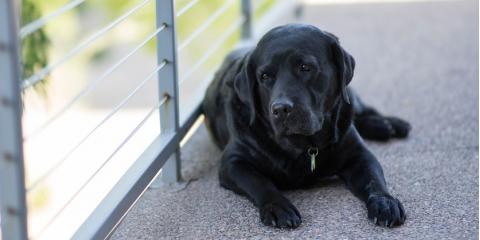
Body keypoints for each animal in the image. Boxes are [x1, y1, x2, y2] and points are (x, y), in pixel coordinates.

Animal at [202, 23, 408, 228]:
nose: (280, 109)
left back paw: (390, 124)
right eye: (265, 76)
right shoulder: (233, 163)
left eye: (305, 67)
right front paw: (277, 206)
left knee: (363, 111)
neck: (302, 146)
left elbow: (374, 180)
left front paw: (385, 202)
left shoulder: (359, 155)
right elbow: (259, 182)